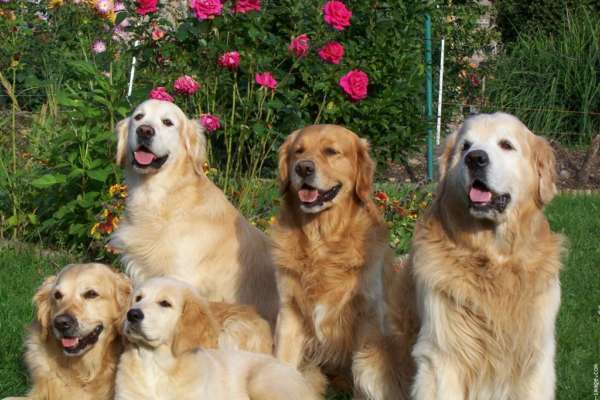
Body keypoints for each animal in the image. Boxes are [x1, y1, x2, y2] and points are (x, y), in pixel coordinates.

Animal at [272, 125, 404, 400]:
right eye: (298, 151)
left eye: (331, 151)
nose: (303, 168)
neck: (322, 240)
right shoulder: (290, 311)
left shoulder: (367, 318)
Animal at [386, 112, 564, 400]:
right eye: (465, 147)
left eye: (506, 145)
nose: (475, 158)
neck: (492, 259)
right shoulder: (442, 355)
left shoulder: (536, 356)